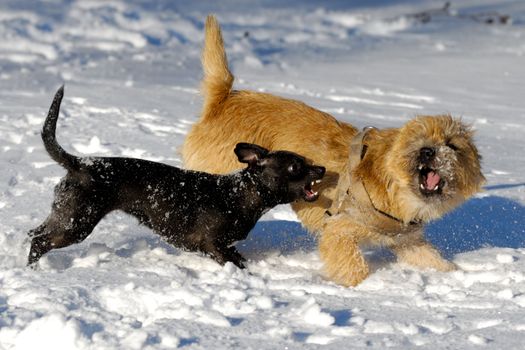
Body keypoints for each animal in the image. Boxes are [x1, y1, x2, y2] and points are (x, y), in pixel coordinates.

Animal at [28, 86, 326, 266]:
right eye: (295, 167)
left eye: (308, 161)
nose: (322, 169)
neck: (238, 194)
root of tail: (80, 163)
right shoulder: (213, 245)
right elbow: (235, 262)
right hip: (76, 223)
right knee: (39, 240)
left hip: (65, 216)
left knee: (35, 232)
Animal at [182, 15, 486, 286]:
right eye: (418, 139)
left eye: (452, 145)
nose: (427, 152)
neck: (389, 181)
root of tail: (223, 100)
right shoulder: (339, 233)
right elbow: (355, 270)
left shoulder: (408, 241)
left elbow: (436, 262)